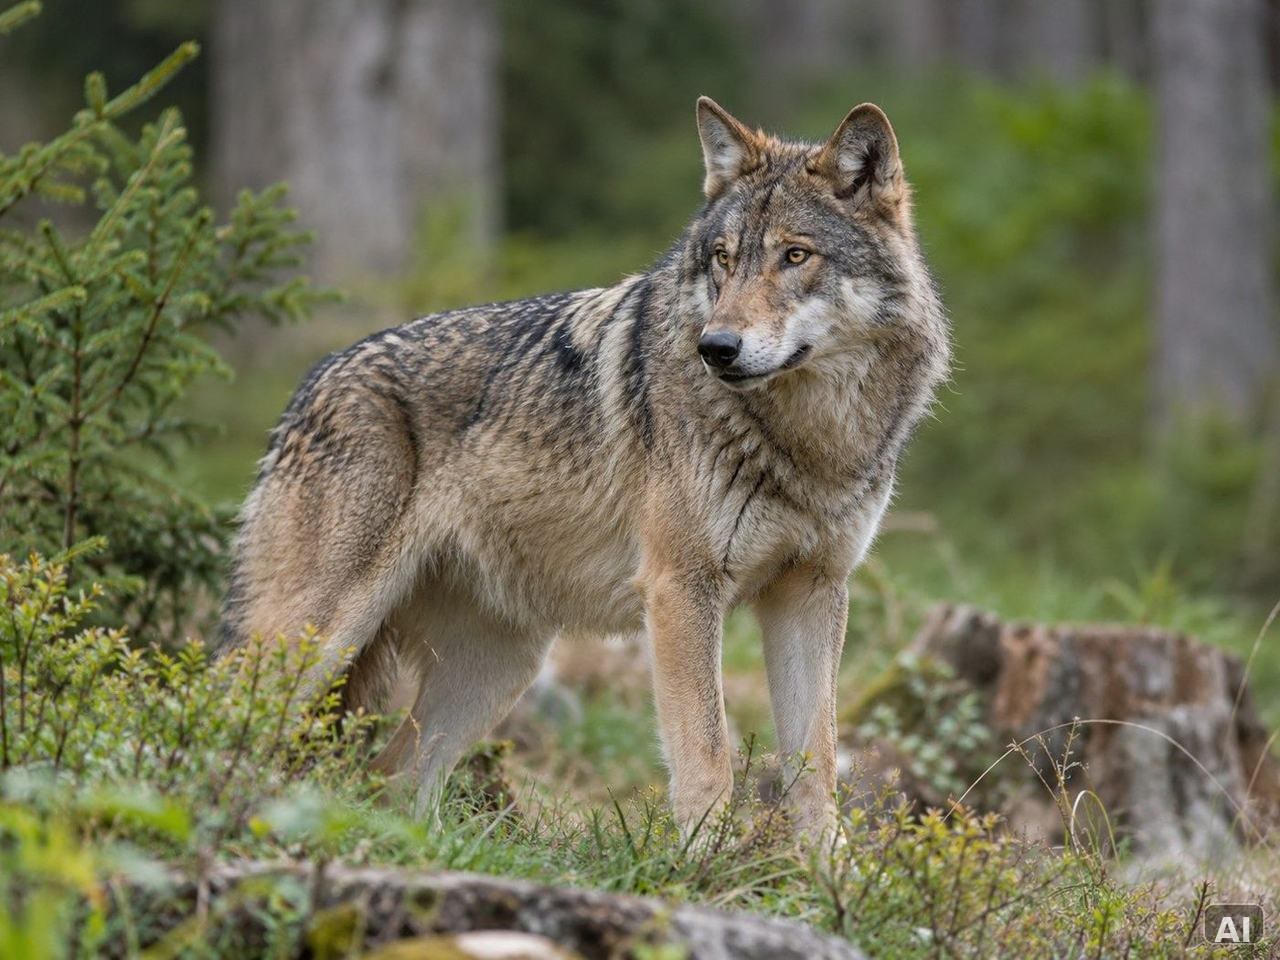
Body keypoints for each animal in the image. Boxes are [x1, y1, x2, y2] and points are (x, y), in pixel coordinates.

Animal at [219, 97, 949, 838]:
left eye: (795, 255)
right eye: (722, 259)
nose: (715, 346)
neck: (812, 439)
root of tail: (309, 384)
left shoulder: (811, 593)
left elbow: (817, 769)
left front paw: (822, 870)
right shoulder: (681, 590)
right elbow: (707, 758)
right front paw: (702, 861)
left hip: (497, 668)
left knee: (391, 778)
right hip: (314, 637)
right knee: (224, 719)